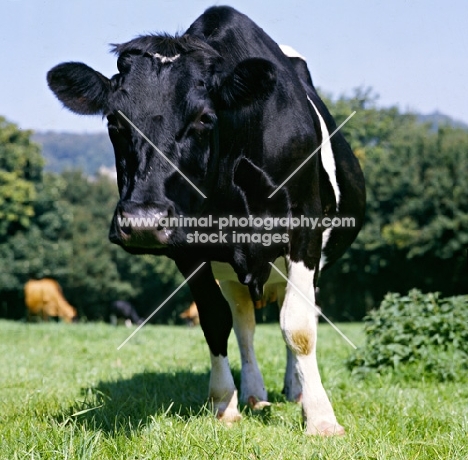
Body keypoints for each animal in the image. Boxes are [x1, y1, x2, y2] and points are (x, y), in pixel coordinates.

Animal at [46, 6, 366, 434]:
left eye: (203, 118)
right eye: (115, 121)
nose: (142, 220)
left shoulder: (305, 230)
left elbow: (298, 326)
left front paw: (320, 417)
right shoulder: (187, 246)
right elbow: (215, 320)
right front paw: (224, 405)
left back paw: (295, 388)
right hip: (231, 268)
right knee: (245, 321)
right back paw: (255, 393)